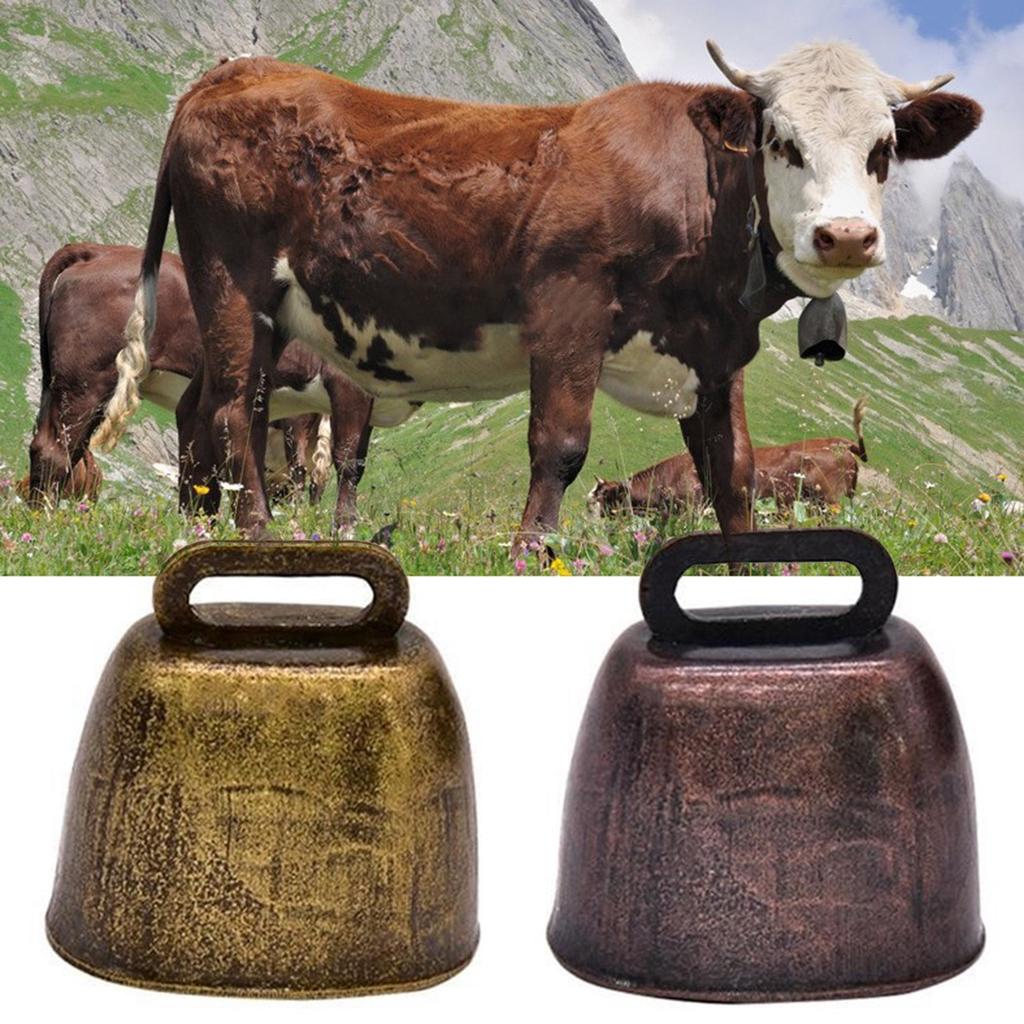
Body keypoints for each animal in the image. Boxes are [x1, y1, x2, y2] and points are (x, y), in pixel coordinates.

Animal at [27, 243, 374, 533]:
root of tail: (97, 250)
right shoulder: (310, 409)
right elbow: (321, 467)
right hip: (86, 381)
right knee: (55, 449)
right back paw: (44, 522)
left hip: (63, 385)